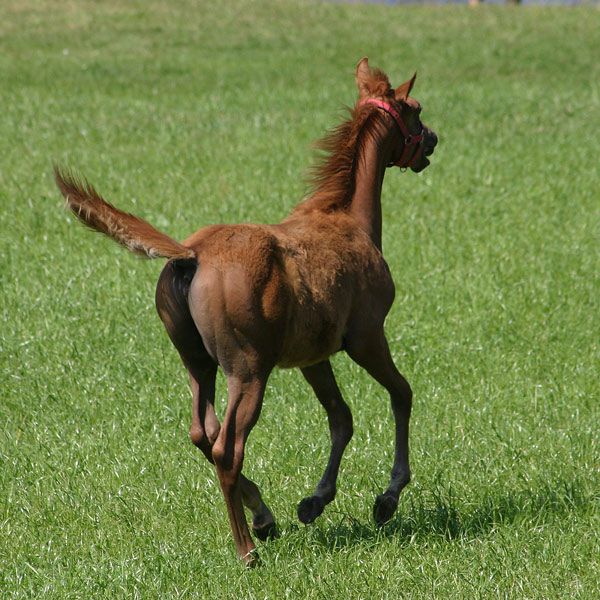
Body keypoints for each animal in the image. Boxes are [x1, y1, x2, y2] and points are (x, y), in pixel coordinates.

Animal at [55, 57, 436, 564]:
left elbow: (341, 418)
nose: (432, 140)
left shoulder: (313, 356)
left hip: (199, 363)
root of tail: (190, 256)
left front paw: (314, 501)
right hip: (249, 370)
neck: (351, 220)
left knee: (202, 432)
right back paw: (247, 547)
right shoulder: (366, 336)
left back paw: (263, 515)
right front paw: (388, 497)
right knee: (226, 447)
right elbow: (401, 395)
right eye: (415, 109)